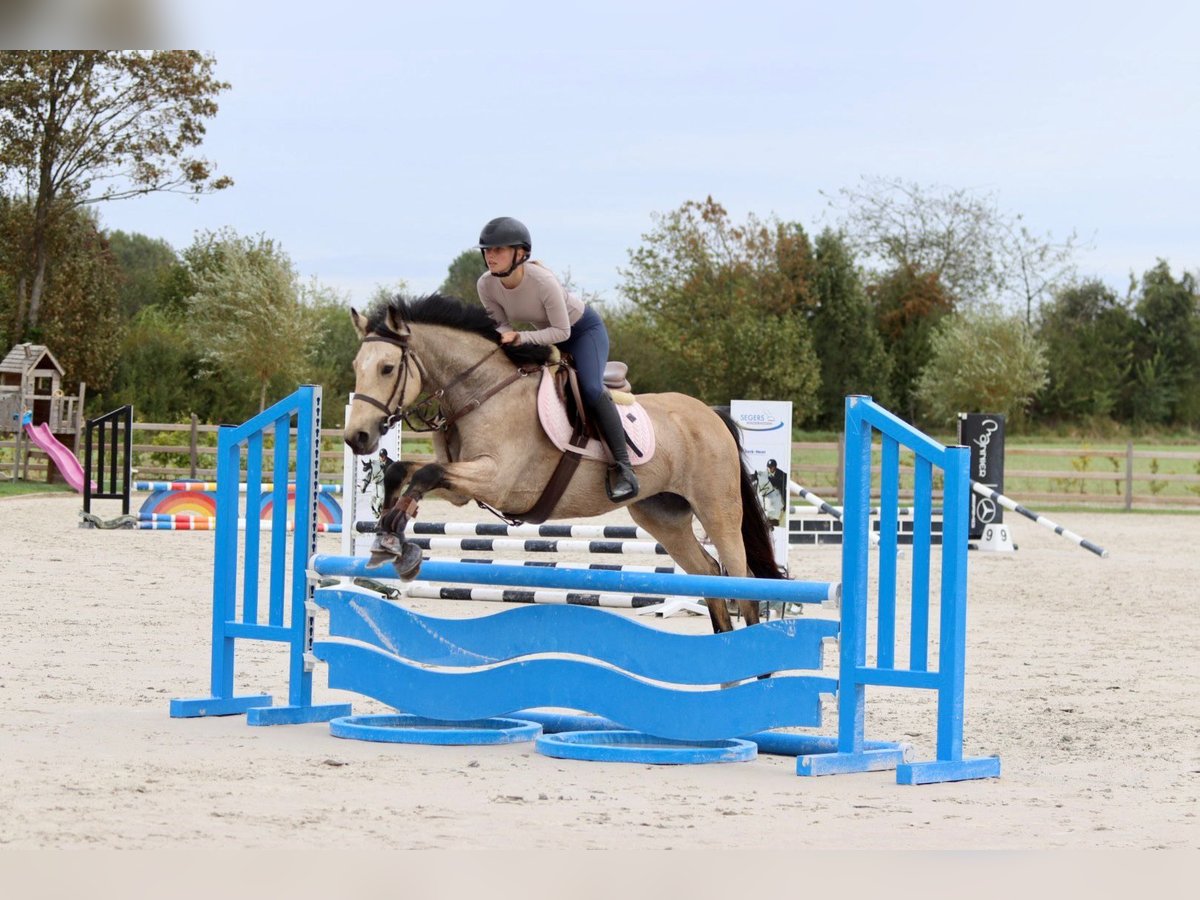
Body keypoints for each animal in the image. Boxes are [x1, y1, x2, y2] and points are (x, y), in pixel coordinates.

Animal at [343, 293, 784, 633]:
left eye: (387, 368)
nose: (356, 437)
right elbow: (405, 471)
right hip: (663, 516)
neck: (483, 391)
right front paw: (386, 535)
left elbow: (427, 472)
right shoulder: (462, 489)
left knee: (742, 584)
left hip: (717, 509)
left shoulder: (496, 479)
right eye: (356, 368)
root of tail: (711, 415)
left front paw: (397, 538)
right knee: (708, 575)